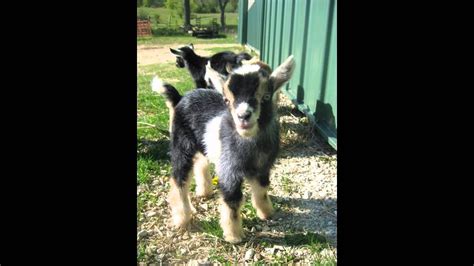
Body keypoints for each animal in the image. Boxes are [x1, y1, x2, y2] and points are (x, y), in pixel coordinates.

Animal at [152, 54, 294, 243]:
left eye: (266, 97)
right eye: (226, 100)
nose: (243, 116)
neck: (249, 144)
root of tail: (180, 98)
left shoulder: (263, 166)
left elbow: (262, 189)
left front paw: (267, 213)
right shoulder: (229, 169)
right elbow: (233, 200)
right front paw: (234, 236)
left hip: (203, 144)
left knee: (201, 163)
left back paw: (204, 192)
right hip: (181, 144)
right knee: (179, 178)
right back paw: (183, 218)